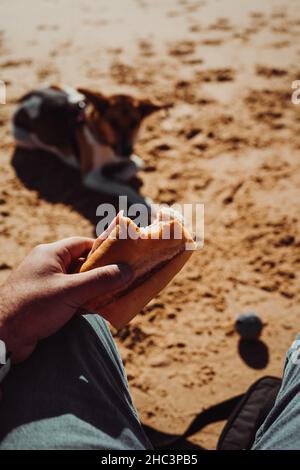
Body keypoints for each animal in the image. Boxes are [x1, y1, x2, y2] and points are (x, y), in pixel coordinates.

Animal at [11, 85, 162, 203]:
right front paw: (149, 206)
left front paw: (120, 175)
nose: (126, 151)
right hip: (23, 139)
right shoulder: (91, 177)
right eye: (113, 122)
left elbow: (138, 163)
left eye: (134, 123)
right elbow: (125, 188)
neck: (104, 142)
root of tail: (25, 98)